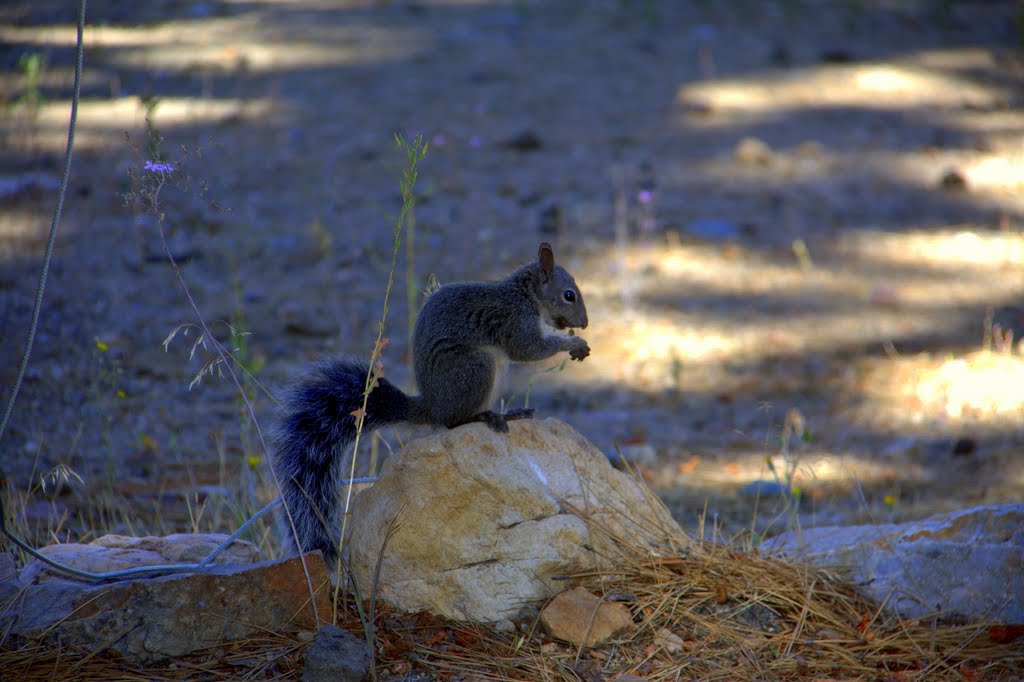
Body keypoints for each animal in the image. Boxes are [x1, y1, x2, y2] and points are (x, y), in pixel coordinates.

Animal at [270, 241, 593, 565]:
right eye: (569, 295)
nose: (585, 323)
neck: (526, 296)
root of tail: (431, 406)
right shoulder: (515, 322)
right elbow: (528, 349)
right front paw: (574, 343)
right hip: (476, 368)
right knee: (452, 421)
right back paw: (488, 417)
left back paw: (511, 413)